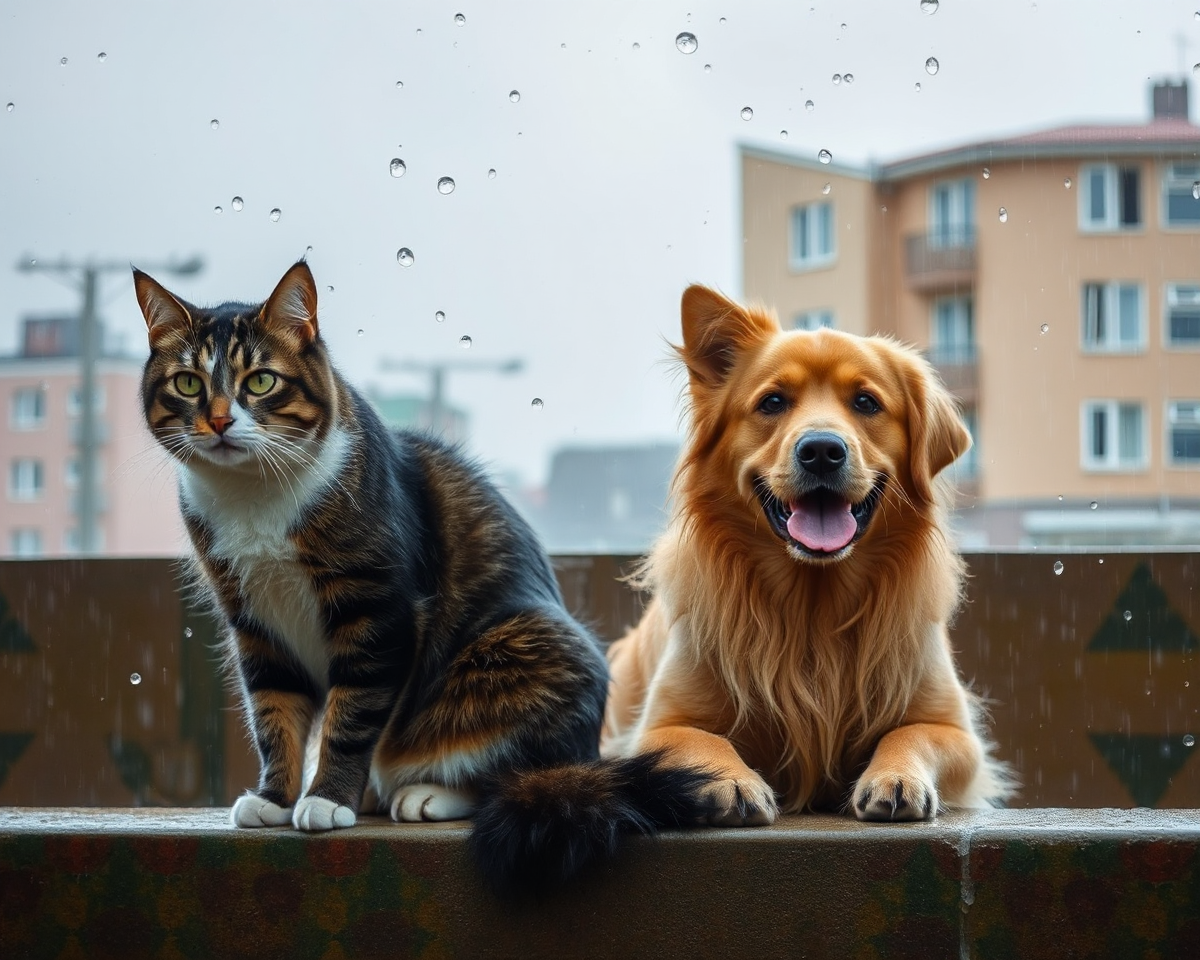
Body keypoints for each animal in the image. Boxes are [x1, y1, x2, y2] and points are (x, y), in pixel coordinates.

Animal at [131, 256, 710, 892]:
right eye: (188, 383)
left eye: (260, 381)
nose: (217, 422)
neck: (253, 499)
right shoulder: (253, 619)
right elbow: (273, 713)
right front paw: (276, 798)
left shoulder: (377, 608)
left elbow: (351, 713)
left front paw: (326, 799)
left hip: (530, 645)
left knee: (506, 771)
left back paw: (424, 793)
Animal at [600, 286, 1012, 825]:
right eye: (773, 402)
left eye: (866, 402)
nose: (821, 450)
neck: (813, 606)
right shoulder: (657, 726)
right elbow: (701, 739)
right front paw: (731, 780)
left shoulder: (955, 731)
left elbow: (911, 732)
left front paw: (895, 775)